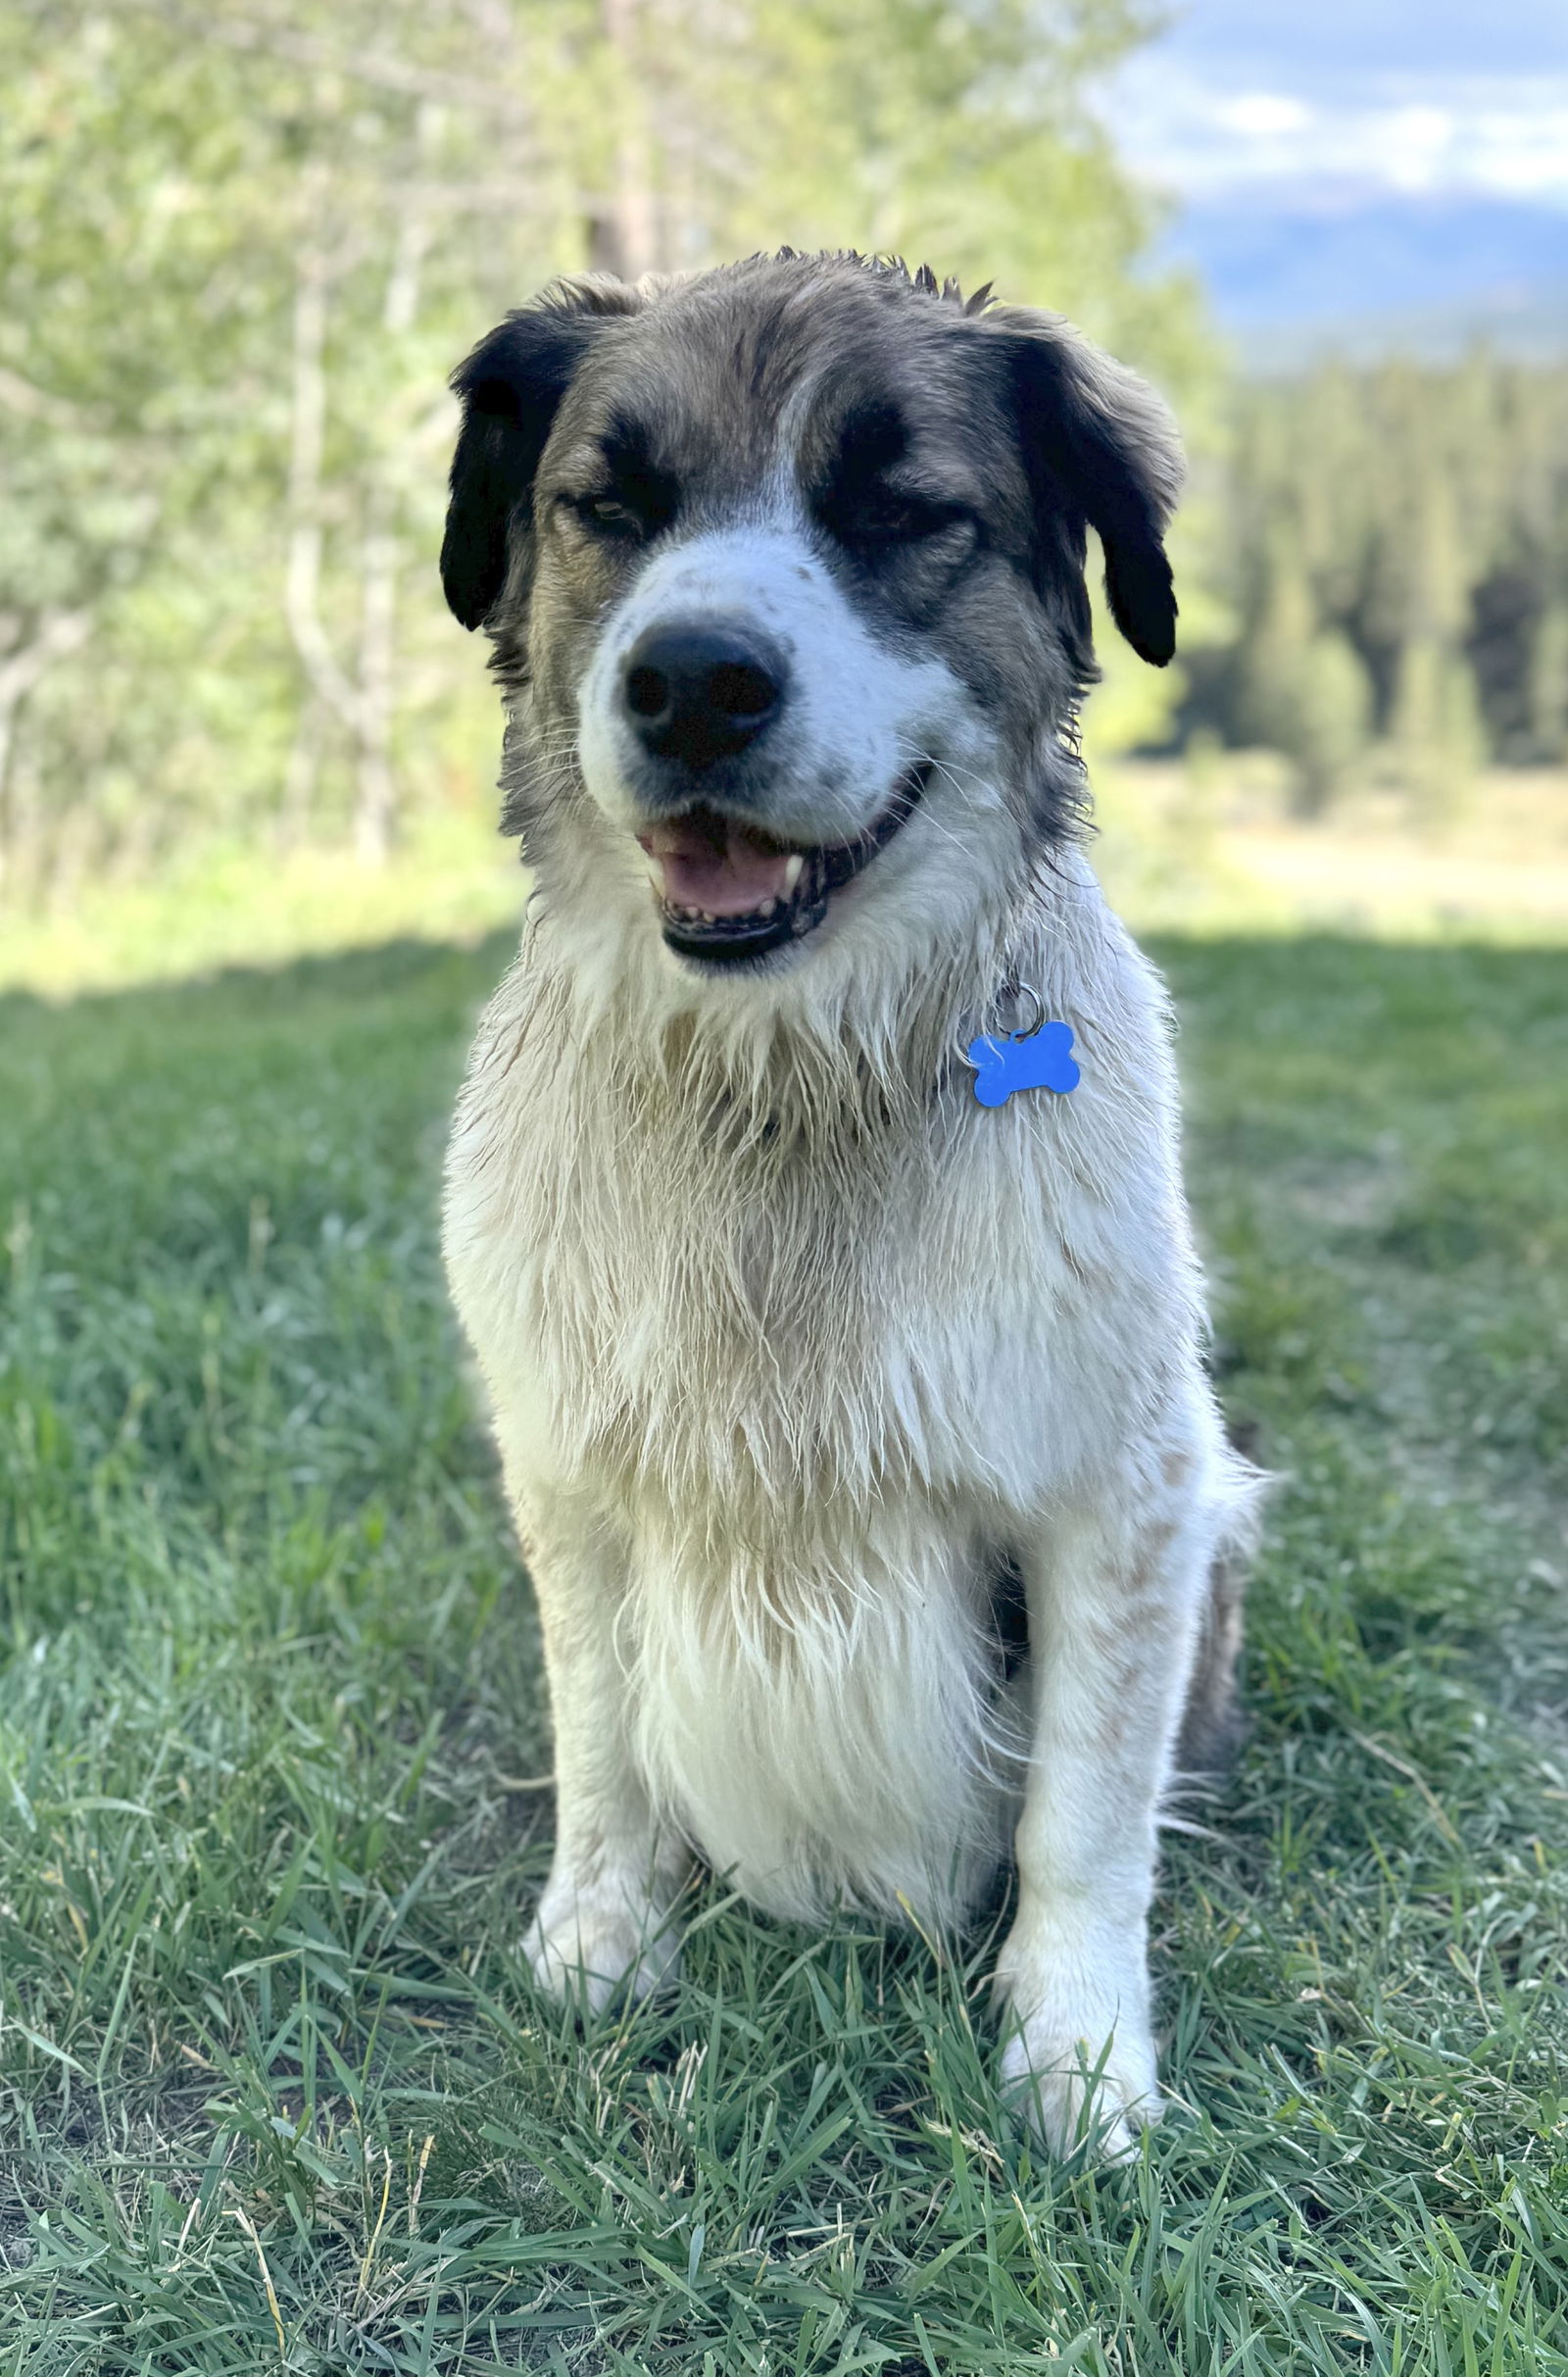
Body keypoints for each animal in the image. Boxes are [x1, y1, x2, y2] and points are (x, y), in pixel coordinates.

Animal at [437, 255, 1263, 2157]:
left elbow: (1080, 1810)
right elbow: (603, 1739)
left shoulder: (1126, 1493)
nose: (693, 682)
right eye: (610, 505)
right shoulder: (570, 1479)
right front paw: (602, 1940)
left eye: (899, 511)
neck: (787, 1084)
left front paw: (1079, 2048)